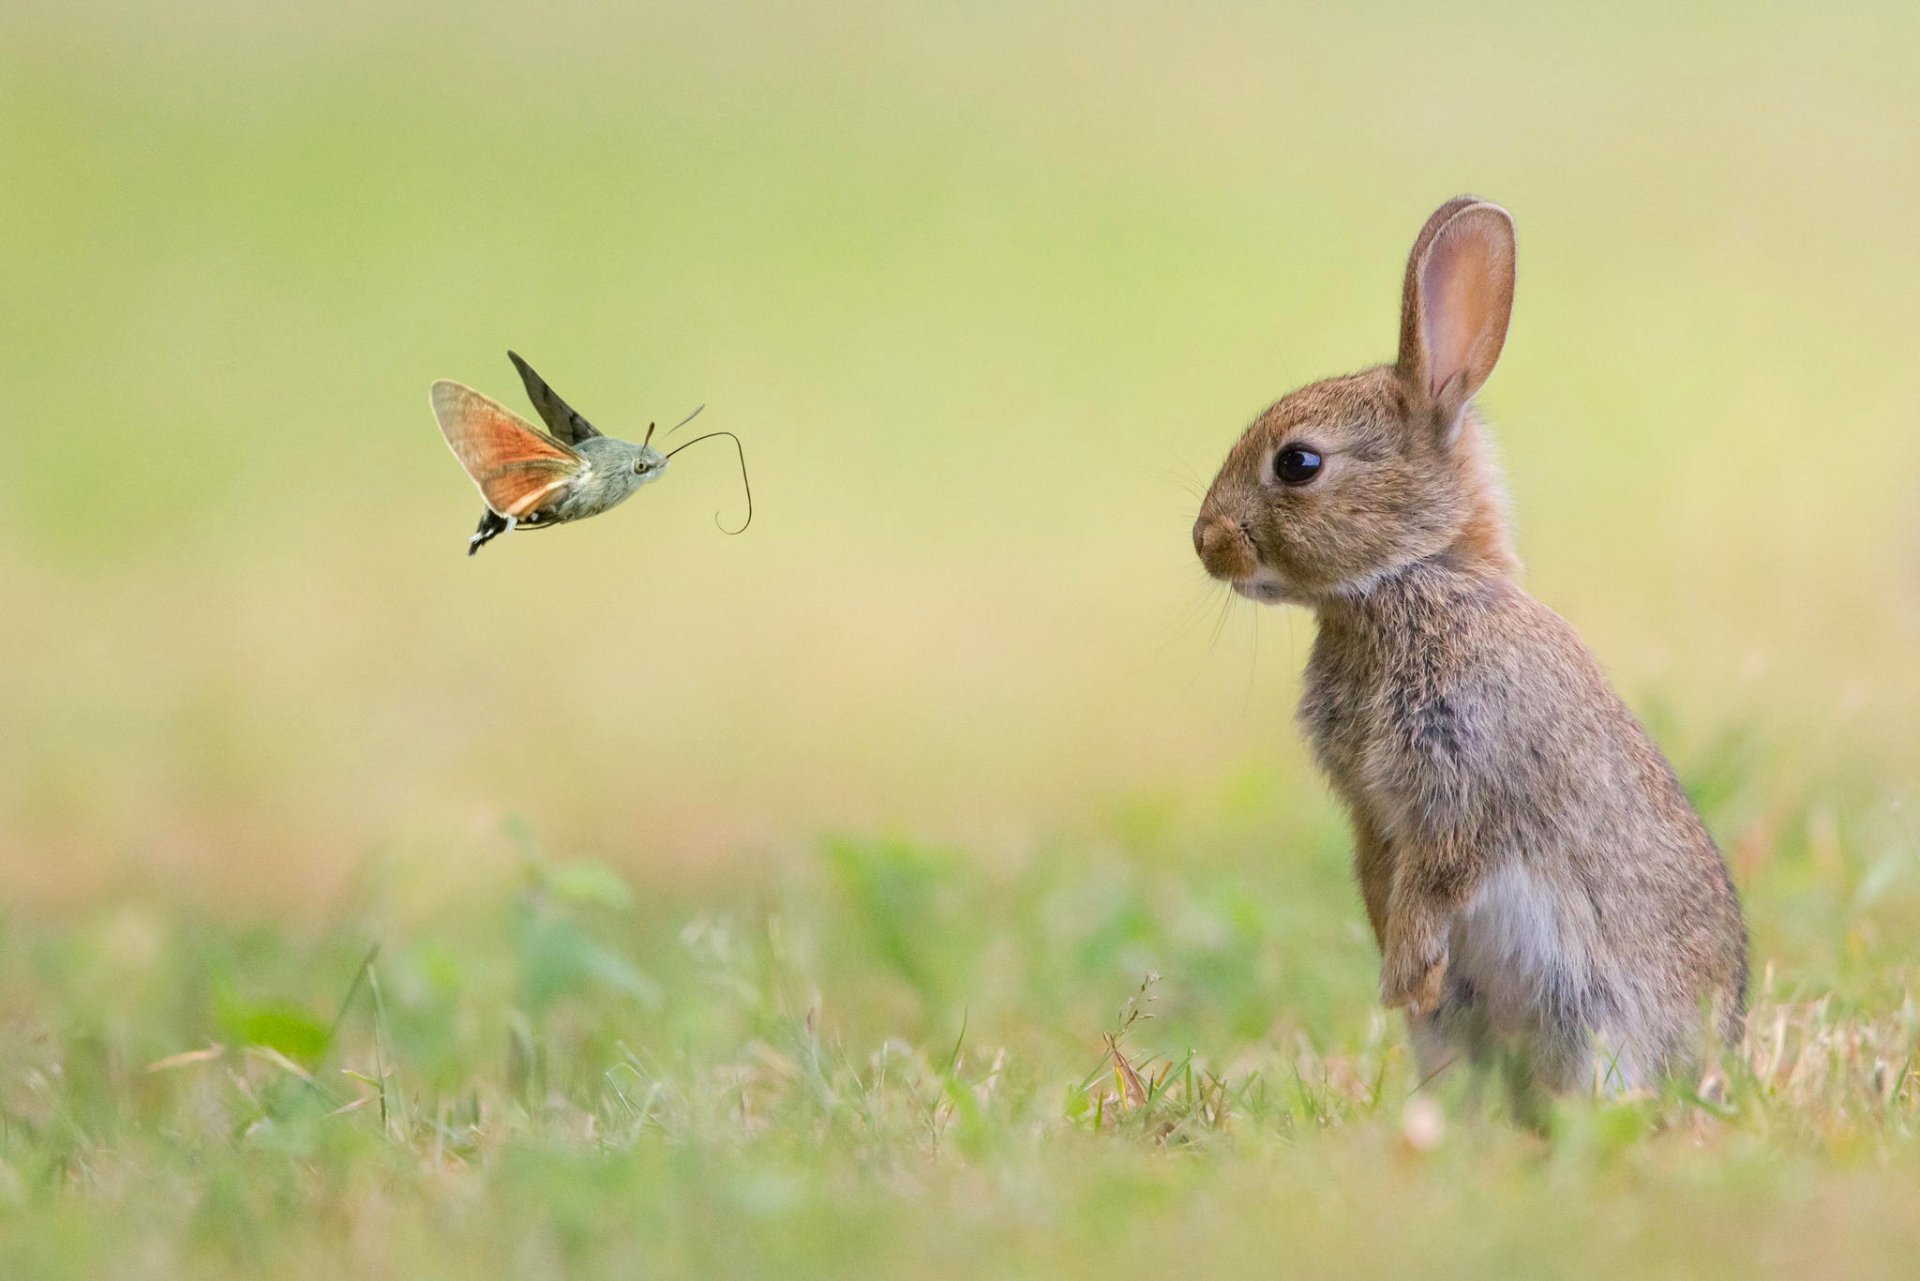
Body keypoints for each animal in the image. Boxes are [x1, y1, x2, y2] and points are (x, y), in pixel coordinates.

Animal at [1191, 197, 1747, 1093]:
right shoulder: (1372, 809)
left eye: (1298, 463)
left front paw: (1401, 973)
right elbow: (1379, 869)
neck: (1411, 579)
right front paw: (1396, 966)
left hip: (1599, 1023)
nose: (1206, 542)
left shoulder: (1467, 781)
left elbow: (1440, 873)